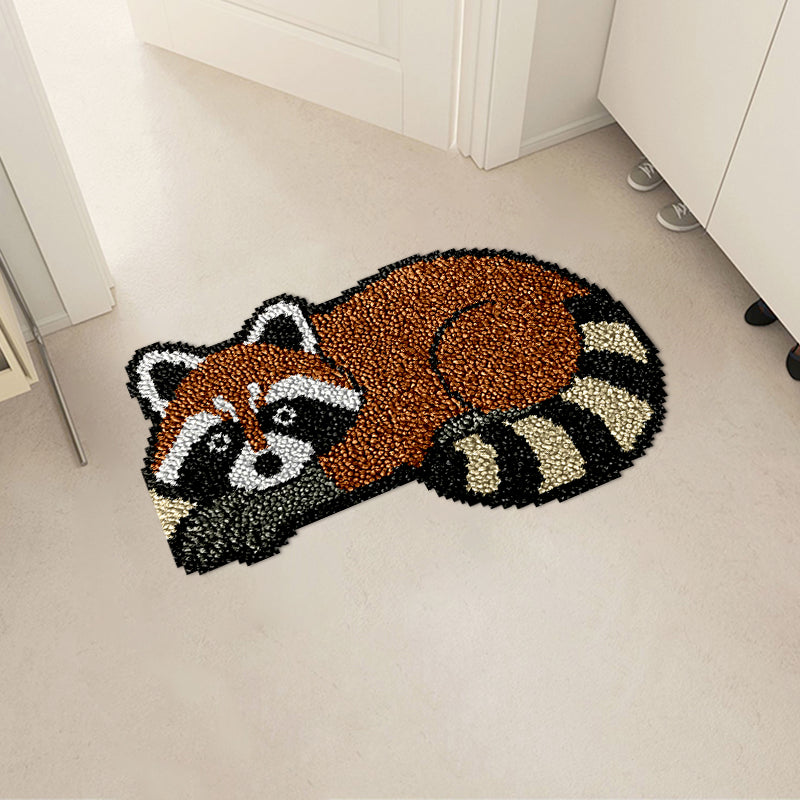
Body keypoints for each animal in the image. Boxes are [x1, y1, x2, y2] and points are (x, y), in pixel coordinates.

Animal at [127, 249, 665, 573]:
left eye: (284, 415)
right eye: (219, 440)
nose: (268, 465)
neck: (329, 351)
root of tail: (560, 280)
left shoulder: (384, 413)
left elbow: (332, 474)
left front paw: (241, 513)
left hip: (501, 327)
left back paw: (472, 418)